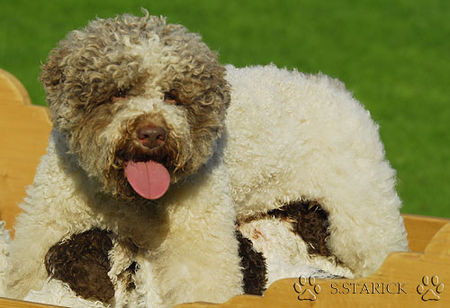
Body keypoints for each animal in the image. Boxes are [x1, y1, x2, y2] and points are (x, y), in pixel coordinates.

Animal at [2, 12, 408, 308]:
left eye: (174, 96)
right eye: (118, 92)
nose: (152, 133)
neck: (127, 199)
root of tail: (336, 89)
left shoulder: (199, 246)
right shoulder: (47, 227)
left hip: (363, 218)